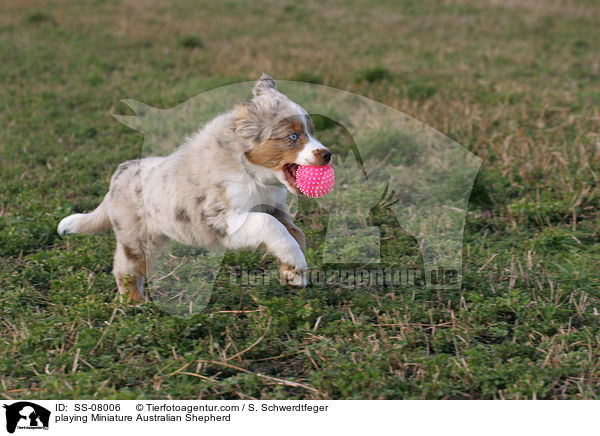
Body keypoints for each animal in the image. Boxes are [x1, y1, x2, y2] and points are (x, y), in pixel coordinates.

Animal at [58, 73, 330, 304]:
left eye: (311, 131)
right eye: (292, 136)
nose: (327, 154)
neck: (253, 174)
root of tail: (120, 173)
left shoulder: (274, 207)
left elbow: (296, 233)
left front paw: (294, 273)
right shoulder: (220, 219)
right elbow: (269, 225)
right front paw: (295, 265)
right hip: (135, 237)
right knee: (125, 269)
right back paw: (135, 306)